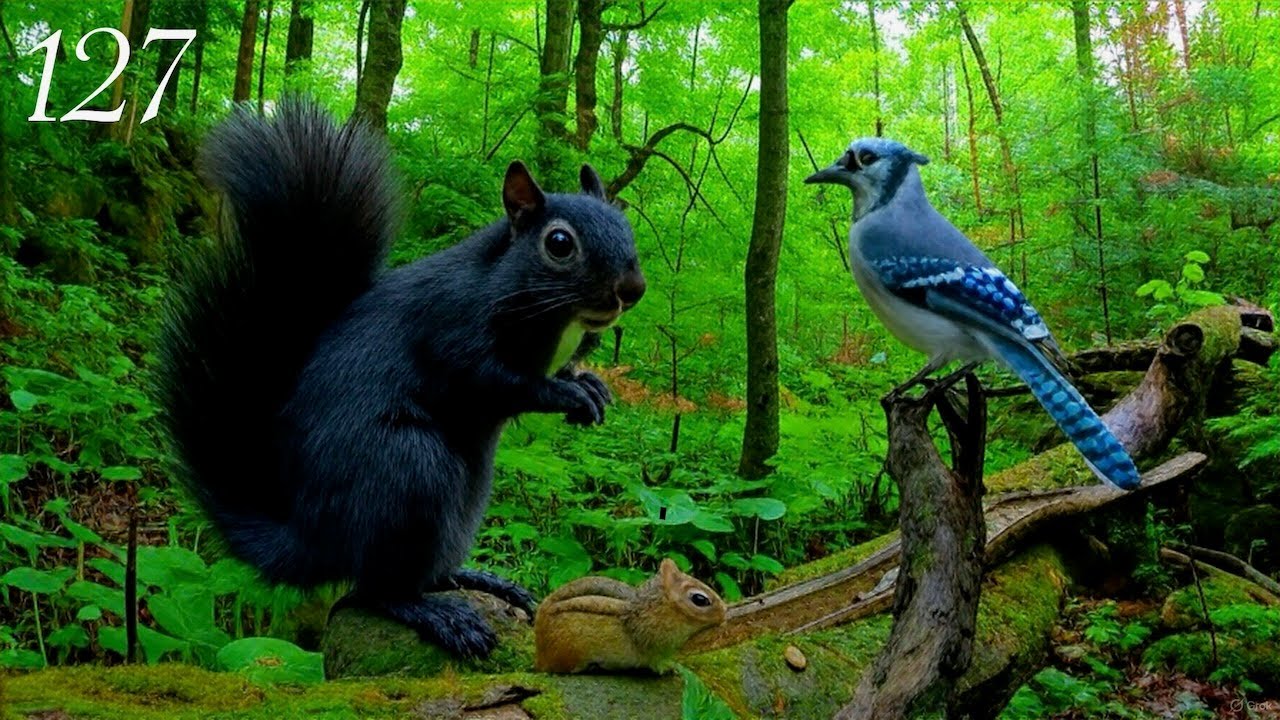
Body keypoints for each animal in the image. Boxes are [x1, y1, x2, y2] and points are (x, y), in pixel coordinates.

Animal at [155, 99, 646, 659]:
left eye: (626, 225)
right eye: (559, 243)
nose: (632, 288)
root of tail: (311, 537)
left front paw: (590, 382)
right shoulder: (453, 328)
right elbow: (496, 380)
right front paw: (567, 393)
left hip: (463, 496)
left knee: (420, 570)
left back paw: (476, 579)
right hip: (407, 468)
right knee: (373, 589)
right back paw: (436, 614)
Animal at [534, 559, 727, 673]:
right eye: (700, 599)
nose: (724, 612)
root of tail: (541, 658)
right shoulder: (657, 643)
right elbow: (657, 663)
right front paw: (669, 668)